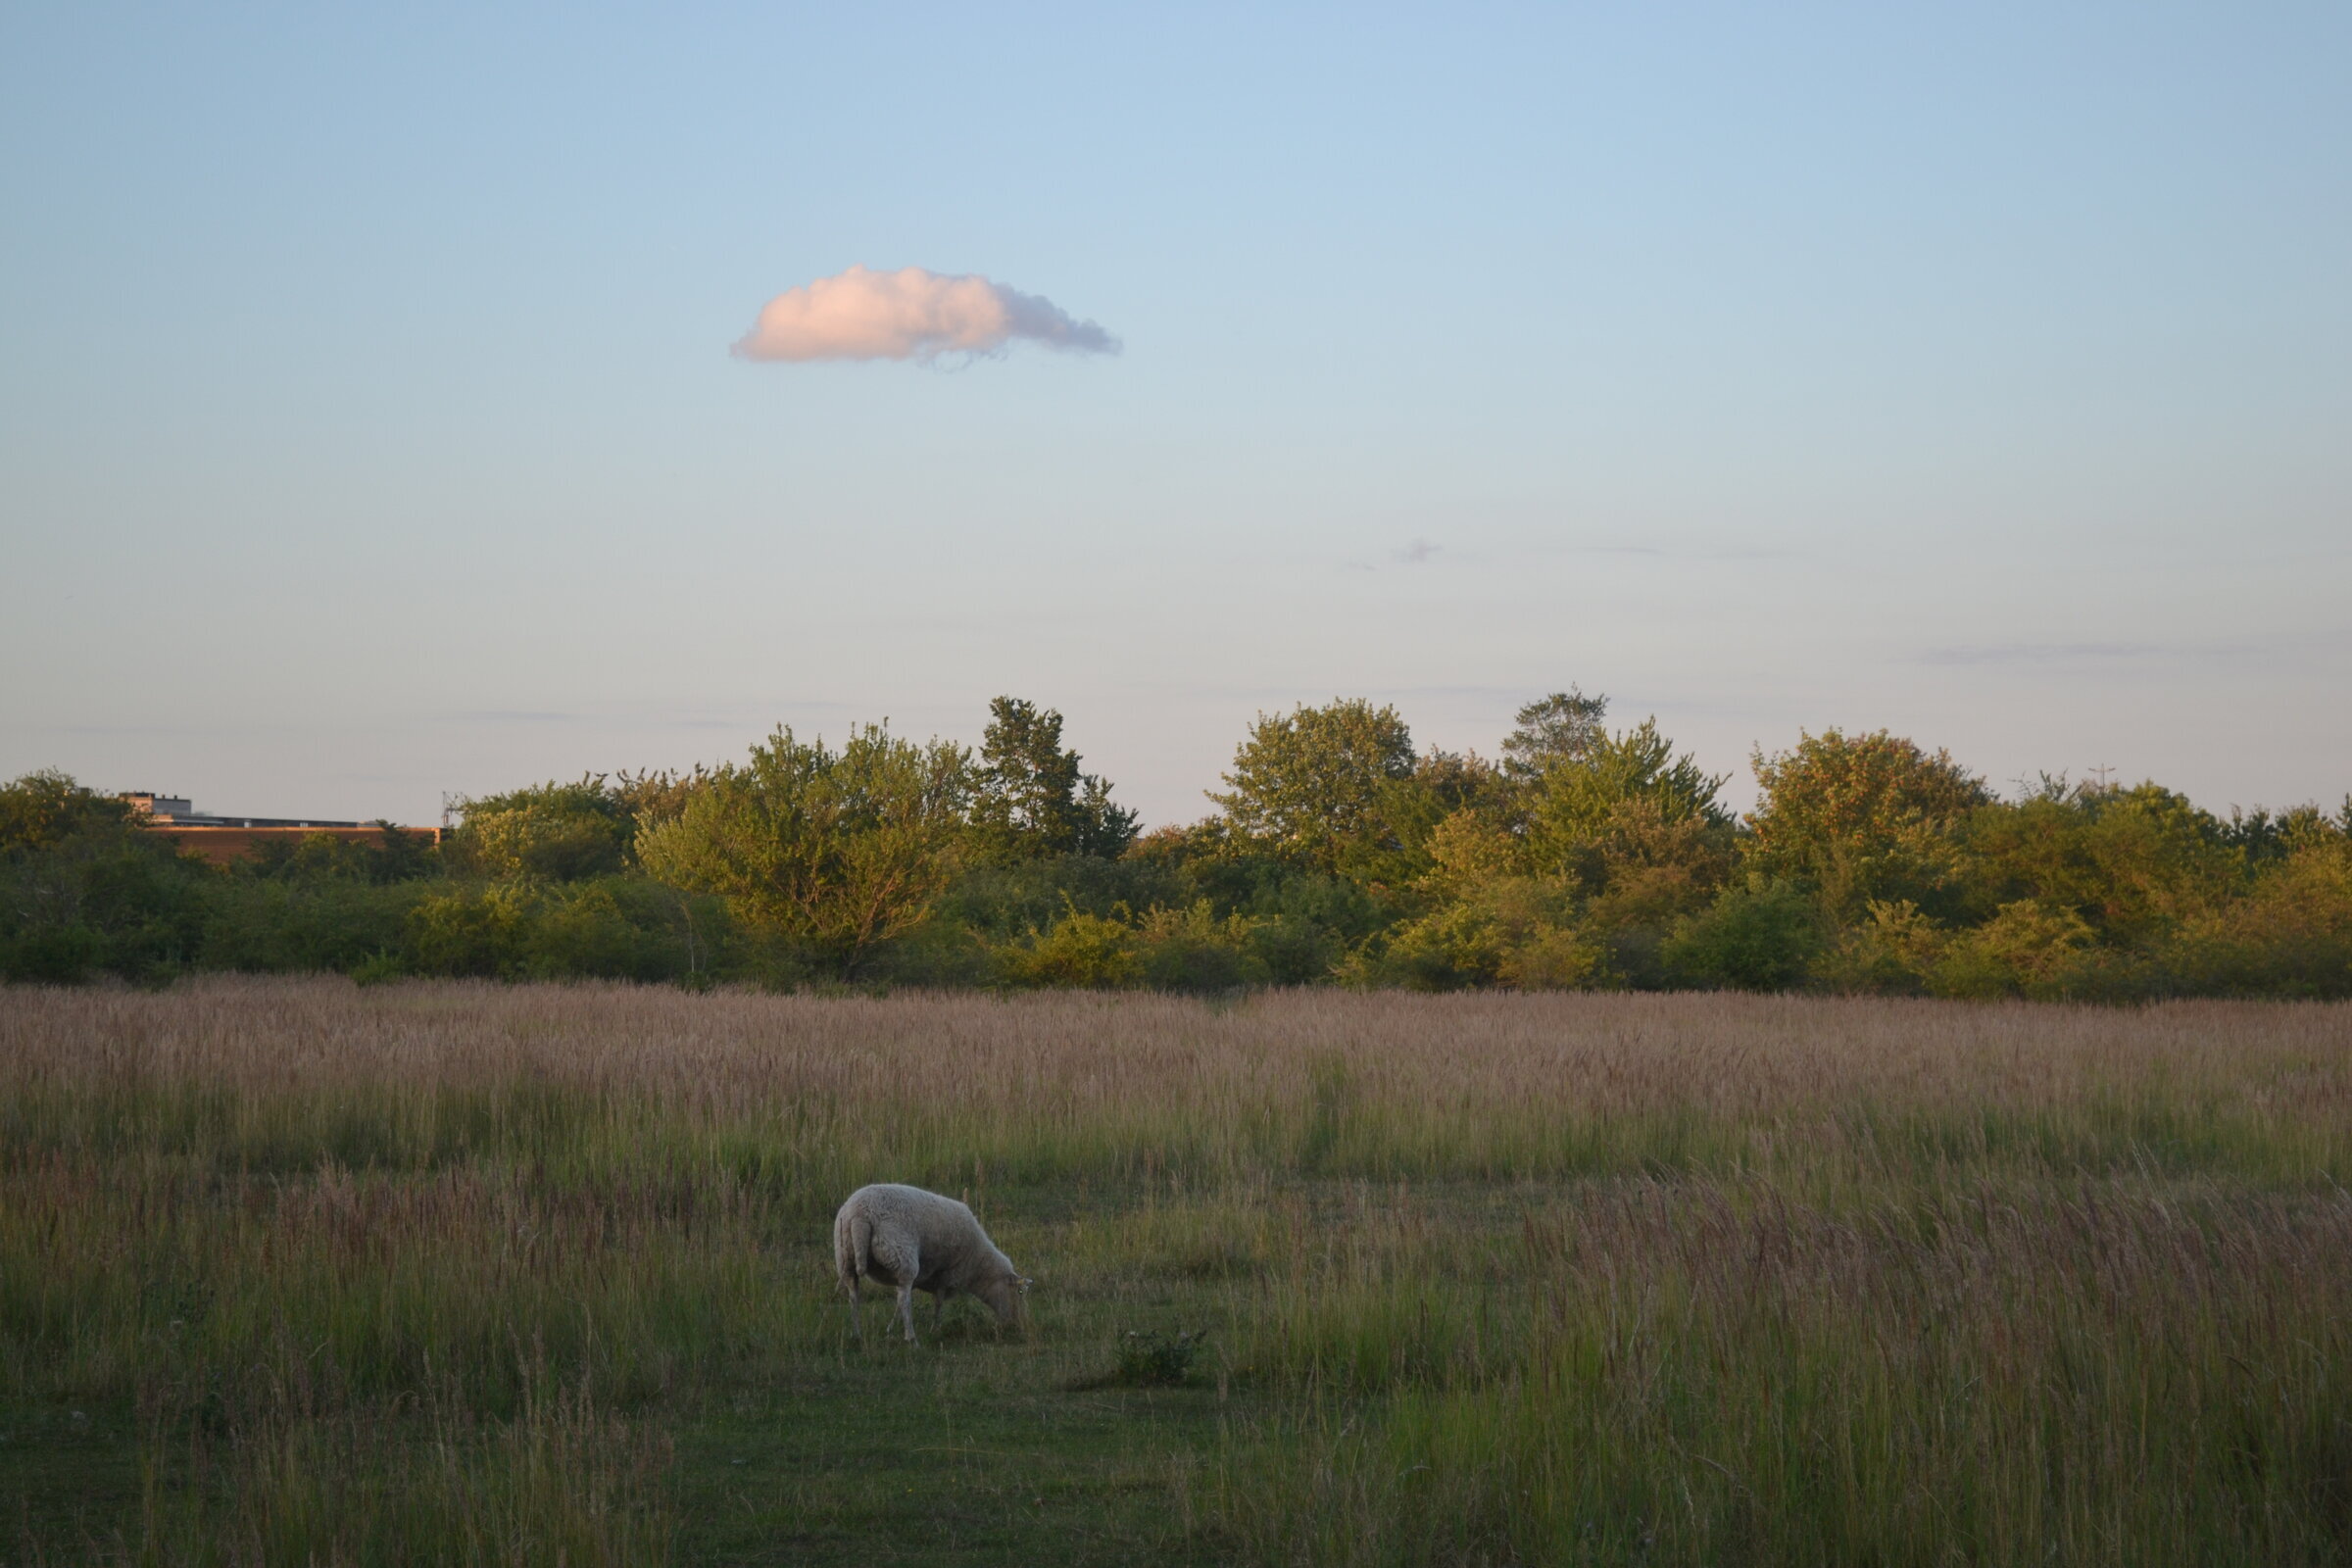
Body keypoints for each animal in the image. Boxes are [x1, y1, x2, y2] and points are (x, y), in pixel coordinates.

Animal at [834, 1183, 1030, 1346]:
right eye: (1019, 1292)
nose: (1018, 1325)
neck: (978, 1264)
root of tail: (860, 1215)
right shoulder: (948, 1273)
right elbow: (938, 1301)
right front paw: (935, 1328)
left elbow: (900, 1305)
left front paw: (890, 1328)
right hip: (902, 1256)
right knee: (904, 1300)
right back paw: (912, 1338)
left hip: (845, 1258)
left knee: (854, 1297)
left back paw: (857, 1335)